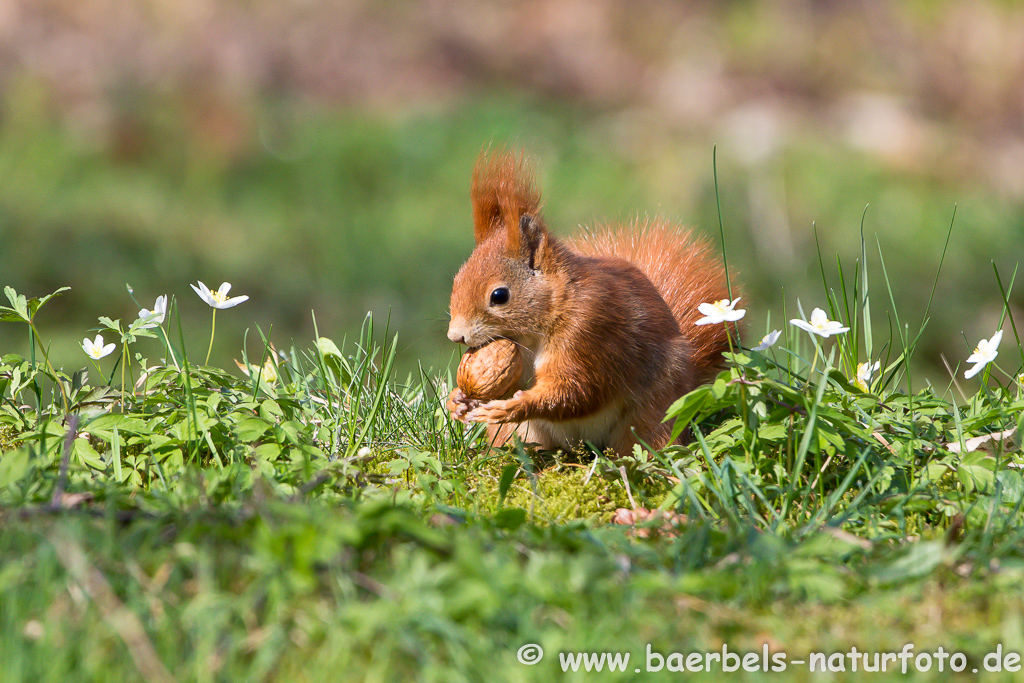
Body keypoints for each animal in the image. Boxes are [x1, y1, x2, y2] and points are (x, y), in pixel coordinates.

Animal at [448, 152, 737, 456]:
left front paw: (514, 405)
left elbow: (577, 390)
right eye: (456, 281)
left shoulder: (589, 331)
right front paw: (458, 399)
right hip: (520, 434)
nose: (456, 336)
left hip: (654, 413)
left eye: (499, 296)